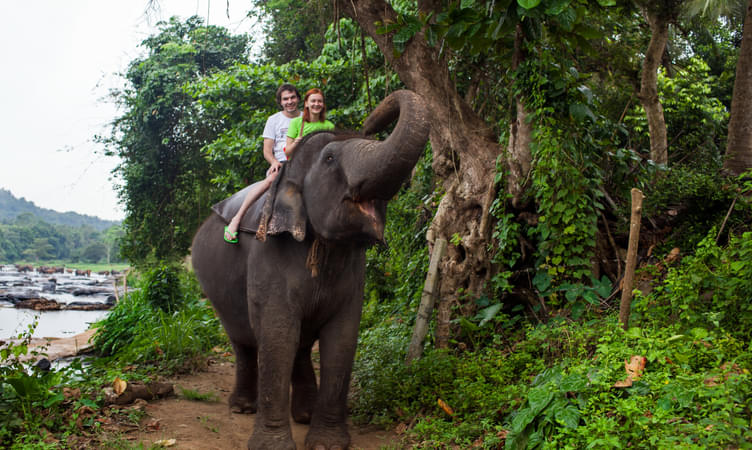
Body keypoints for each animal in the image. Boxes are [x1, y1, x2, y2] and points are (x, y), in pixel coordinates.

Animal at [190, 90, 430, 450]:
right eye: (329, 158)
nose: (373, 120)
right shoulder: (268, 255)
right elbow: (278, 335)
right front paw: (273, 447)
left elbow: (341, 338)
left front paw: (327, 444)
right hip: (213, 282)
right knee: (243, 340)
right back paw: (243, 408)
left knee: (299, 344)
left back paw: (303, 414)